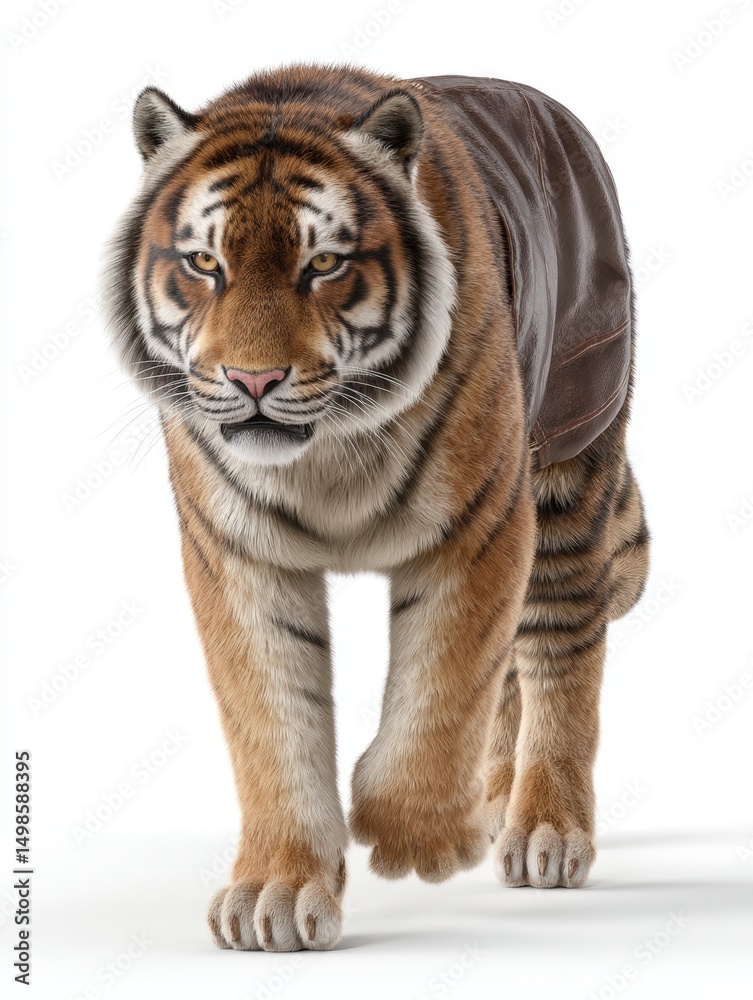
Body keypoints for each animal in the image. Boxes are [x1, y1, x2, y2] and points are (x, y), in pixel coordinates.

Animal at [102, 63, 649, 953]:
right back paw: (493, 798)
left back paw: (543, 830)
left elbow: (442, 687)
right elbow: (272, 726)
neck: (324, 451)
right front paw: (275, 892)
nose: (254, 380)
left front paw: (416, 838)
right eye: (204, 263)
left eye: (323, 263)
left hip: (572, 455)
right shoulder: (238, 553)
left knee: (559, 651)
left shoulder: (479, 524)